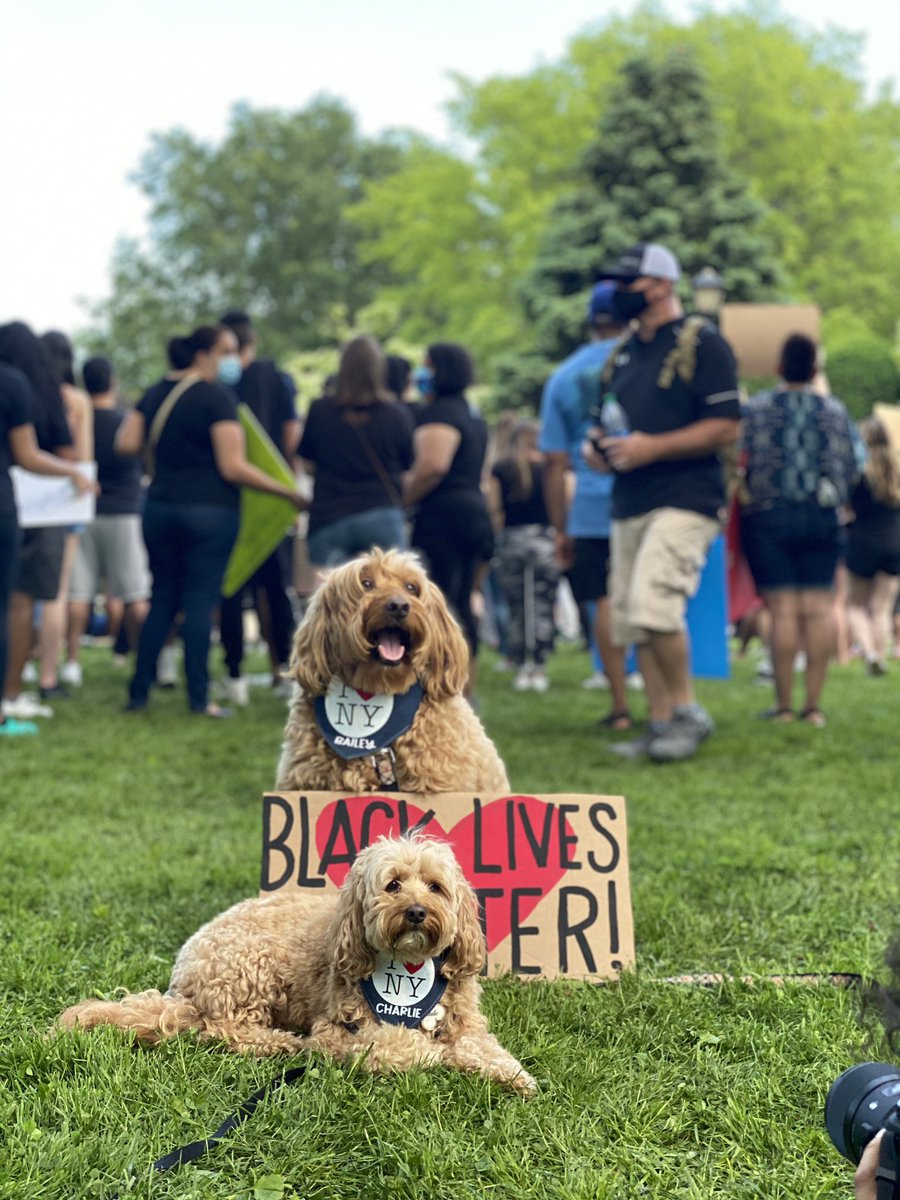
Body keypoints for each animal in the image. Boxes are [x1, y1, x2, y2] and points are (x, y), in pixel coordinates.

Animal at [60, 835, 540, 1099]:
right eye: (393, 885)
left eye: (436, 887)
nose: (417, 912)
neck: (408, 970)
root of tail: (182, 979)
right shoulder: (337, 1032)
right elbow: (402, 1045)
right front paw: (437, 1053)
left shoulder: (467, 1021)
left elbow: (482, 1046)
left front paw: (514, 1075)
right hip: (251, 968)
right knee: (223, 1031)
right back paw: (281, 1042)